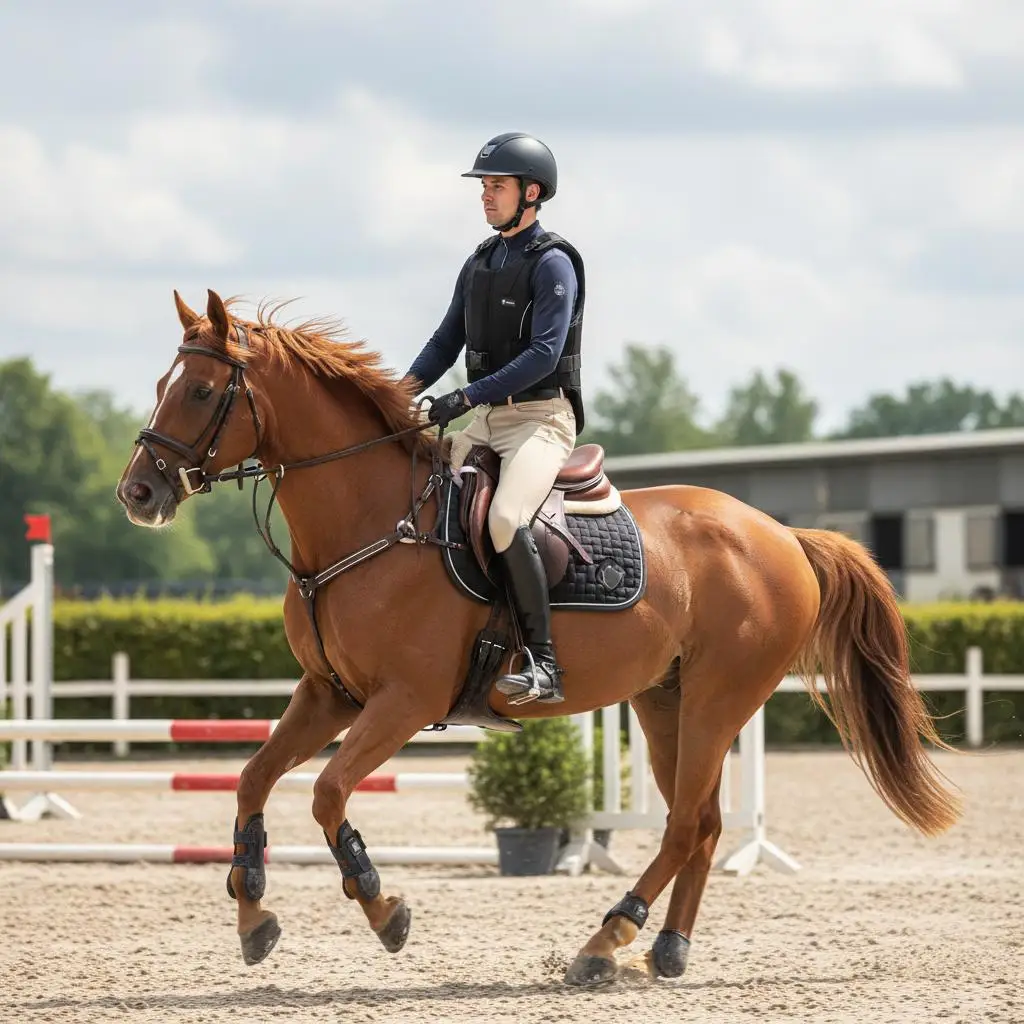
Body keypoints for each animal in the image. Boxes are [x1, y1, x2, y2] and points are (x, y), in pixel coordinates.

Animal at [115, 288, 961, 987]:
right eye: (162, 385)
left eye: (199, 390)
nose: (138, 493)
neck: (366, 523)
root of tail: (783, 535)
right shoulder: (330, 694)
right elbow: (253, 779)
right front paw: (254, 914)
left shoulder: (404, 701)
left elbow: (326, 793)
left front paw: (384, 910)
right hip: (665, 701)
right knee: (703, 824)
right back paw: (665, 949)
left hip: (718, 700)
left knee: (685, 823)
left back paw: (604, 943)